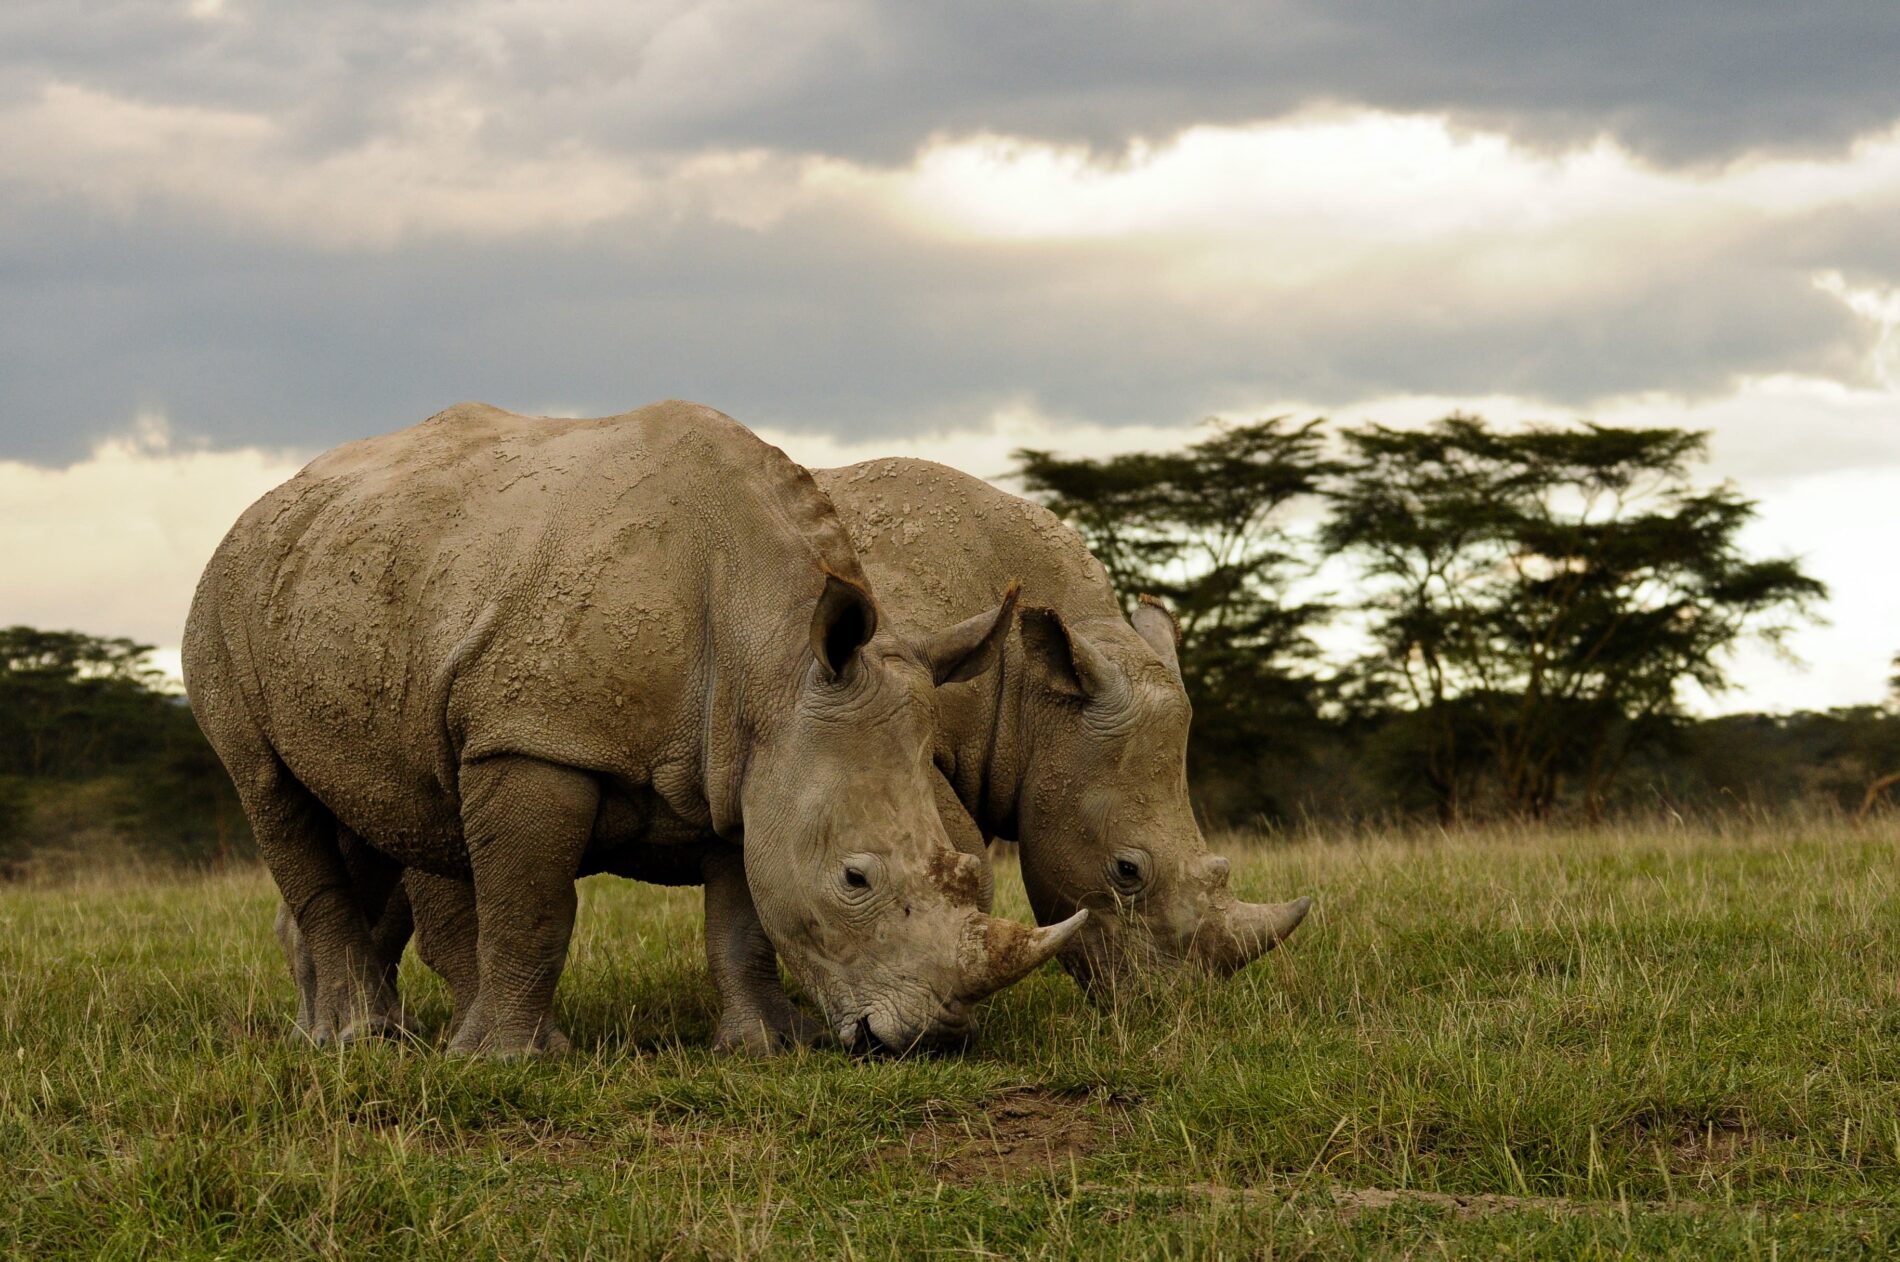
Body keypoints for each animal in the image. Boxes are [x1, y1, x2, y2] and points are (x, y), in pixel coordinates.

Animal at [184, 401, 1083, 1057]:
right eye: (854, 880)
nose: (937, 1037)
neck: (775, 654)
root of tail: (265, 504)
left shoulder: (746, 763)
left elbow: (741, 919)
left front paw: (764, 1046)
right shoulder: (533, 740)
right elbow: (534, 908)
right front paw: (513, 1061)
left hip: (349, 583)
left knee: (376, 808)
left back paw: (356, 1035)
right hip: (221, 603)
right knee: (273, 795)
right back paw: (362, 1040)